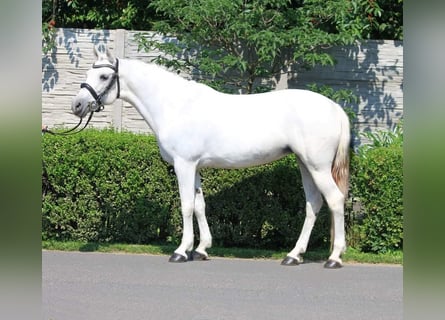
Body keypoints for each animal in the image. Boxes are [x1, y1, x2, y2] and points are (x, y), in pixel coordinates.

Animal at [72, 47, 350, 268]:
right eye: (86, 75)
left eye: (104, 76)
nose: (77, 106)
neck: (174, 106)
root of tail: (335, 108)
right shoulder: (194, 167)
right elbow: (199, 205)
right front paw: (201, 249)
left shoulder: (184, 165)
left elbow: (186, 206)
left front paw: (181, 251)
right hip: (305, 164)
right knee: (313, 204)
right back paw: (294, 255)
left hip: (318, 167)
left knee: (335, 200)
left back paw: (334, 258)